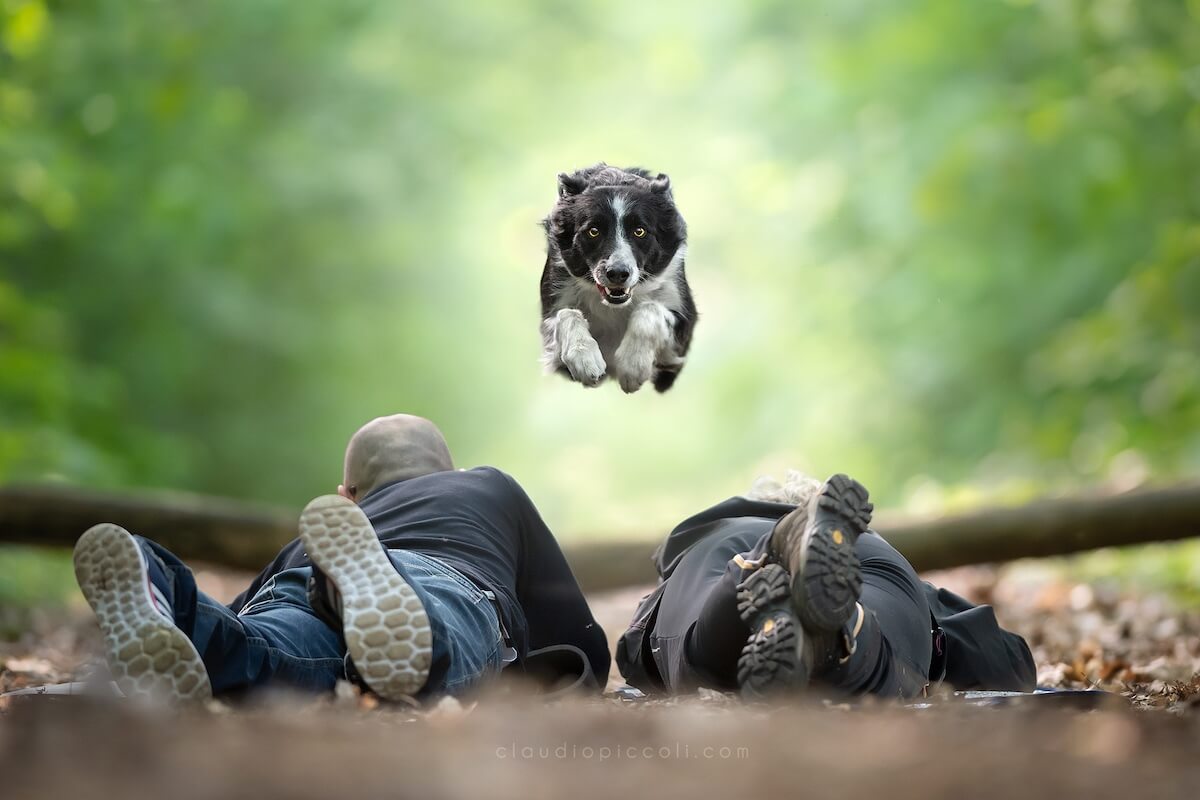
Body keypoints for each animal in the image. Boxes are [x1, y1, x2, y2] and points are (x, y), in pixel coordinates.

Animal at [542, 163, 700, 393]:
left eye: (640, 231)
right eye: (593, 231)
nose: (617, 273)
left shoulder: (683, 319)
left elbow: (650, 308)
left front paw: (632, 366)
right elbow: (566, 314)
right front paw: (584, 359)